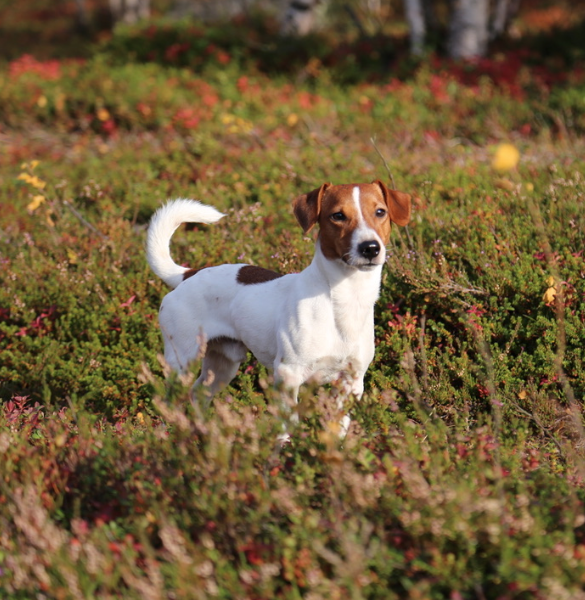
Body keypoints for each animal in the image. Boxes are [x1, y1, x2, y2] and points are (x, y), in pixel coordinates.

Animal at [146, 180, 410, 434]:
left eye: (380, 212)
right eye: (338, 216)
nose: (370, 248)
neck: (343, 300)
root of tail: (189, 274)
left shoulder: (351, 382)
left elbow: (338, 428)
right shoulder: (287, 374)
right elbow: (288, 425)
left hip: (223, 365)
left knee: (198, 394)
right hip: (181, 362)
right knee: (168, 403)